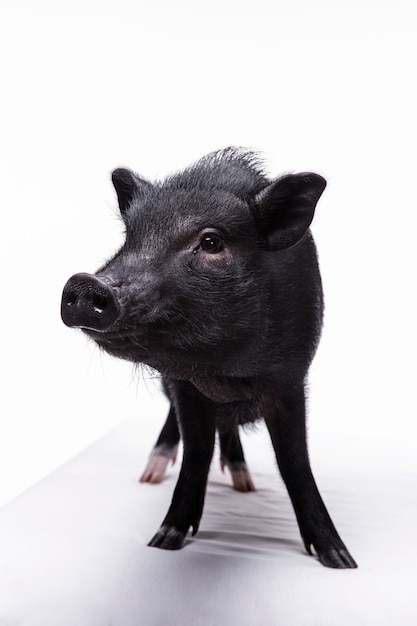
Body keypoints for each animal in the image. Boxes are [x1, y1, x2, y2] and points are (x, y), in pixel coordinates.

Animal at [60, 147, 356, 564]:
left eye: (211, 242)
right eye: (129, 237)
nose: (85, 283)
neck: (226, 373)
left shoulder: (290, 379)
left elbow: (295, 461)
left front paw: (340, 558)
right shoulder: (184, 385)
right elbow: (197, 451)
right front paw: (164, 540)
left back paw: (243, 483)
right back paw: (151, 475)